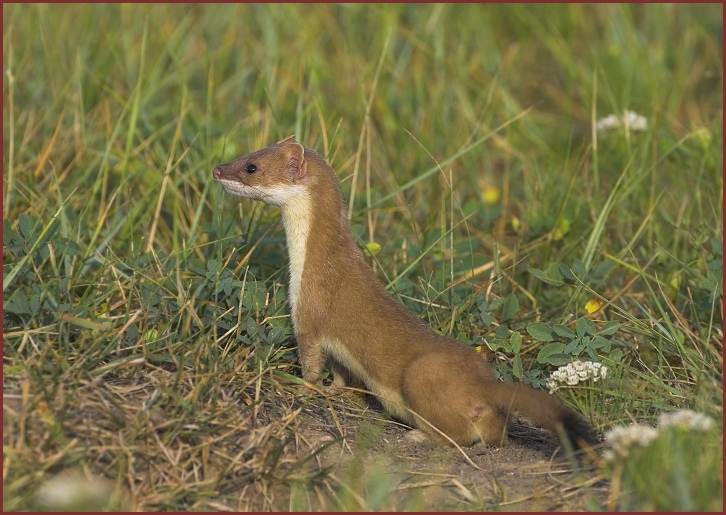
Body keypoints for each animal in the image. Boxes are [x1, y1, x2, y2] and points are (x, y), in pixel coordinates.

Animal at [213, 135, 600, 450]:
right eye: (248, 151)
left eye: (251, 166)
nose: (216, 169)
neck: (309, 261)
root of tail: (484, 381)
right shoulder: (335, 343)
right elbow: (340, 372)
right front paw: (333, 389)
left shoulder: (309, 313)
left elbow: (310, 363)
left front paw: (300, 386)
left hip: (419, 374)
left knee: (457, 433)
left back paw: (420, 435)